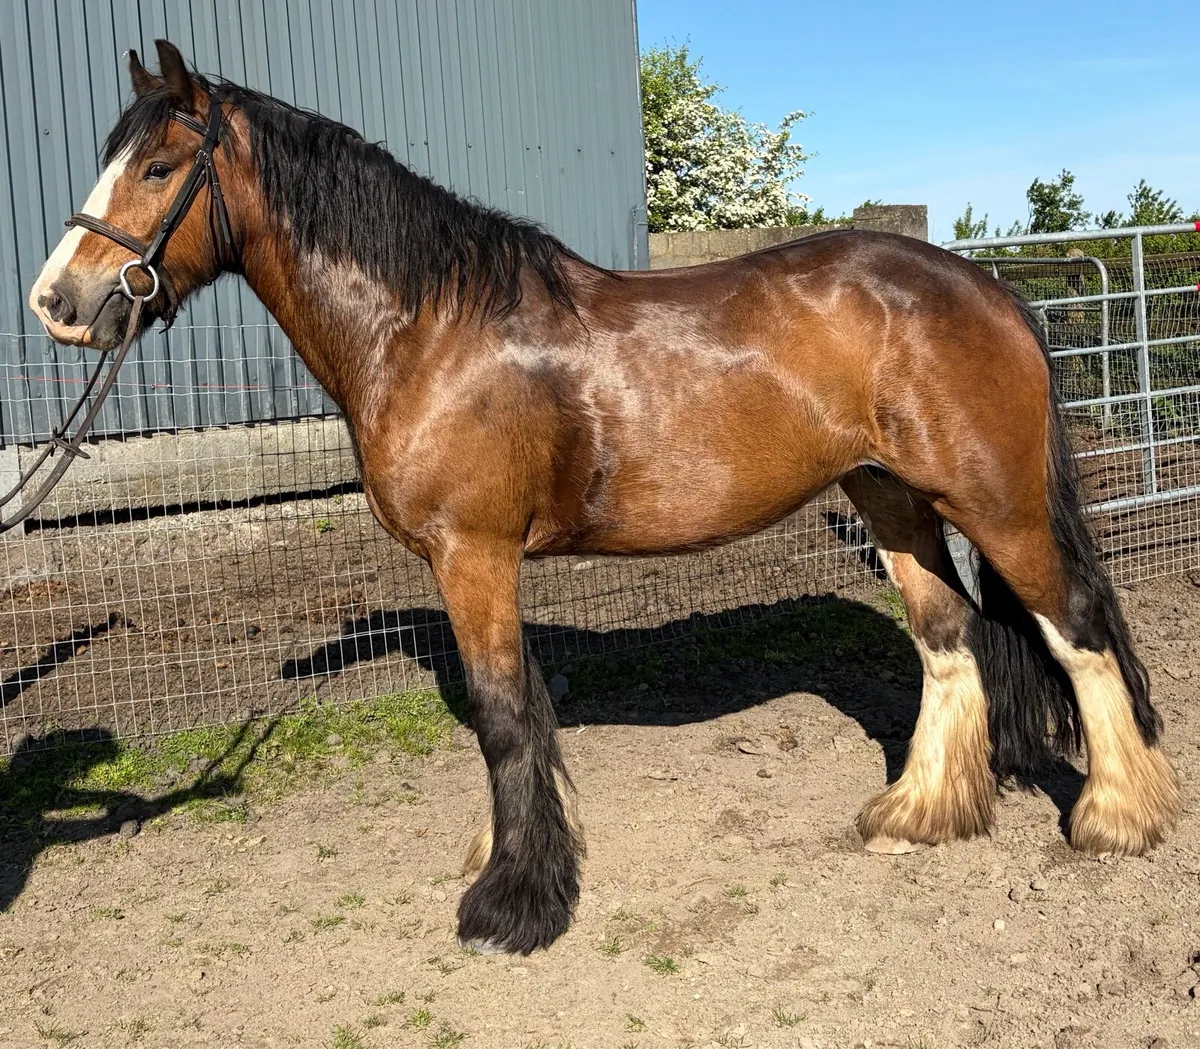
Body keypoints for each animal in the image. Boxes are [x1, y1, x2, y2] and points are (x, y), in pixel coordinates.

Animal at [29, 41, 1180, 955]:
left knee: (1077, 627)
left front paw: (512, 903)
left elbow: (503, 715)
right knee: (948, 638)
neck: (428, 328)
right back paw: (918, 812)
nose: (57, 302)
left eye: (160, 166)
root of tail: (986, 287)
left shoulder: (474, 553)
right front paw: (508, 857)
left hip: (996, 503)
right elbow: (513, 717)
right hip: (891, 500)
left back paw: (1117, 817)